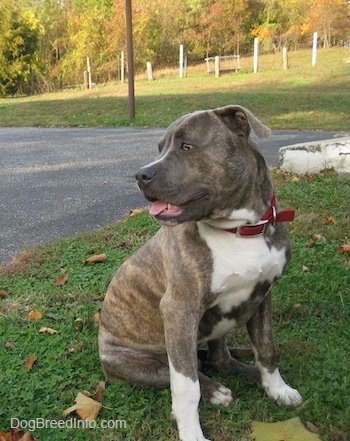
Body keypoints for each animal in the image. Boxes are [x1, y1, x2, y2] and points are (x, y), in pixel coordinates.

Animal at [98, 105, 300, 438]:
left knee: (218, 357)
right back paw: (215, 390)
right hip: (136, 361)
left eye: (186, 147)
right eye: (160, 149)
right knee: (181, 371)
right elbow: (185, 386)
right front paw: (191, 432)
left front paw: (277, 389)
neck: (239, 231)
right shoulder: (179, 311)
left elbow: (266, 350)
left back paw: (246, 370)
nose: (141, 174)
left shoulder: (262, 296)